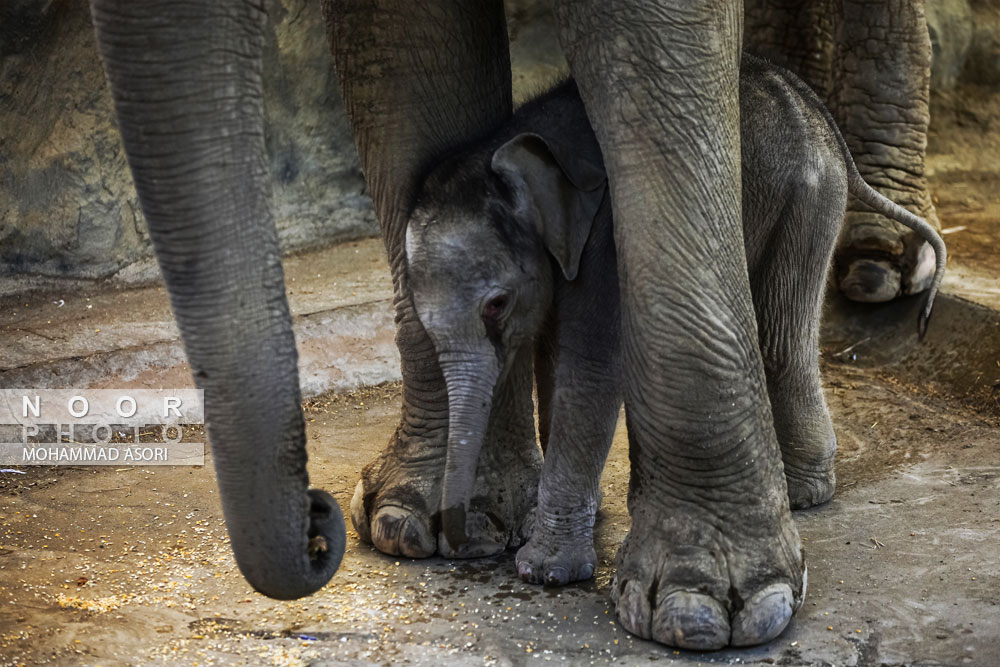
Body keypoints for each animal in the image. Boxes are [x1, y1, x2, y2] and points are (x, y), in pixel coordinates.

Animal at [90, 0, 800, 648]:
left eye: (496, 306)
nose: (320, 521)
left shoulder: (596, 244)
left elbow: (595, 358)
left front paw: (691, 608)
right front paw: (414, 529)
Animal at [400, 53, 944, 584]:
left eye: (496, 304)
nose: (459, 544)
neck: (508, 144)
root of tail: (823, 118)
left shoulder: (613, 235)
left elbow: (594, 366)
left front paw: (545, 571)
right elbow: (555, 356)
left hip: (809, 197)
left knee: (781, 336)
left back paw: (801, 495)